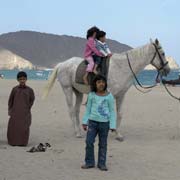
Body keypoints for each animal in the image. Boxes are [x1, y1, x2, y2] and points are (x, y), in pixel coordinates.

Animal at [42, 39, 170, 141]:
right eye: (163, 53)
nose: (168, 70)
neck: (122, 67)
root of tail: (62, 64)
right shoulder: (111, 94)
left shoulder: (121, 95)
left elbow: (120, 114)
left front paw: (118, 134)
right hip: (67, 89)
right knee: (71, 111)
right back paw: (77, 133)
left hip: (78, 92)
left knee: (76, 110)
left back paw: (78, 130)